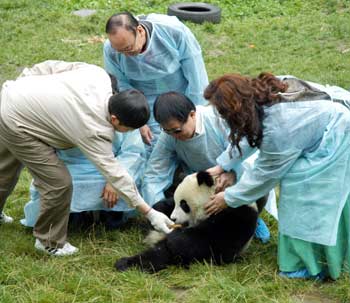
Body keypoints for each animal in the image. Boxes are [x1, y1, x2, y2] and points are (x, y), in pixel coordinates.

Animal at [115, 172, 266, 274]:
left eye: (184, 204)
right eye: (177, 202)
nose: (173, 219)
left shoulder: (237, 217)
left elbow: (211, 242)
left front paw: (175, 238)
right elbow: (165, 205)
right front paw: (158, 216)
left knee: (161, 255)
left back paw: (126, 264)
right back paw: (123, 263)